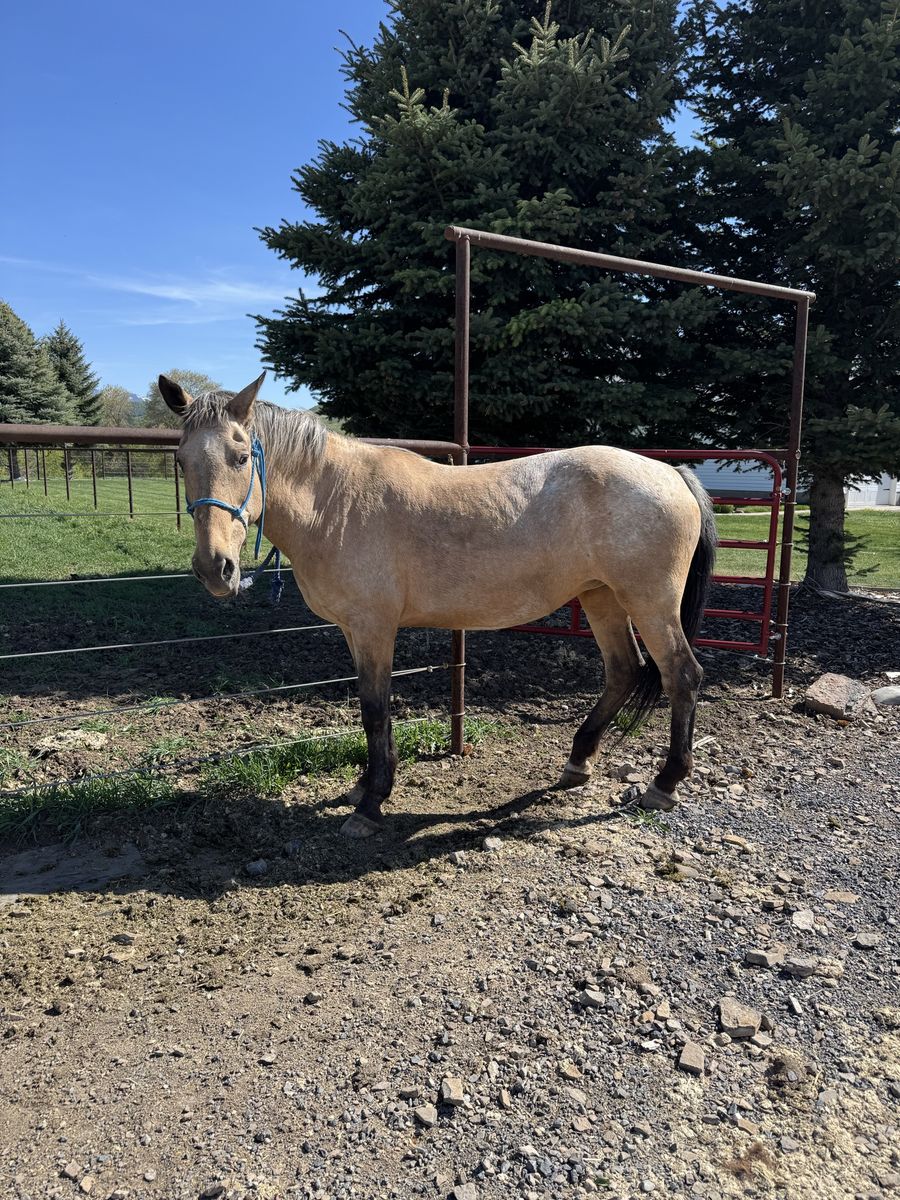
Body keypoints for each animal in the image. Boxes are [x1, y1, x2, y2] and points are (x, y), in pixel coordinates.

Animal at [159, 372, 717, 838]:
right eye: (181, 461)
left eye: (241, 457)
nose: (215, 569)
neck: (334, 501)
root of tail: (670, 472)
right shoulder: (353, 630)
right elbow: (373, 708)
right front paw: (365, 787)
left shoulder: (374, 628)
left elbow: (374, 709)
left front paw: (371, 805)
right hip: (601, 597)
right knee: (623, 671)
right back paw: (578, 762)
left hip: (649, 601)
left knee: (682, 675)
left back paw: (665, 784)